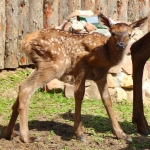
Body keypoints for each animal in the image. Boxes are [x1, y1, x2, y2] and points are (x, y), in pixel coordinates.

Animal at [3, 12, 148, 143]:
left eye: (129, 34)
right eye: (113, 33)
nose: (121, 45)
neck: (105, 55)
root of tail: (25, 42)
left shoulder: (101, 75)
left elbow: (107, 100)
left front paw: (122, 135)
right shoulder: (81, 63)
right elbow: (79, 94)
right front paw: (79, 133)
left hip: (42, 65)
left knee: (21, 88)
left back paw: (9, 133)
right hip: (55, 65)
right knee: (26, 88)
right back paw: (27, 137)